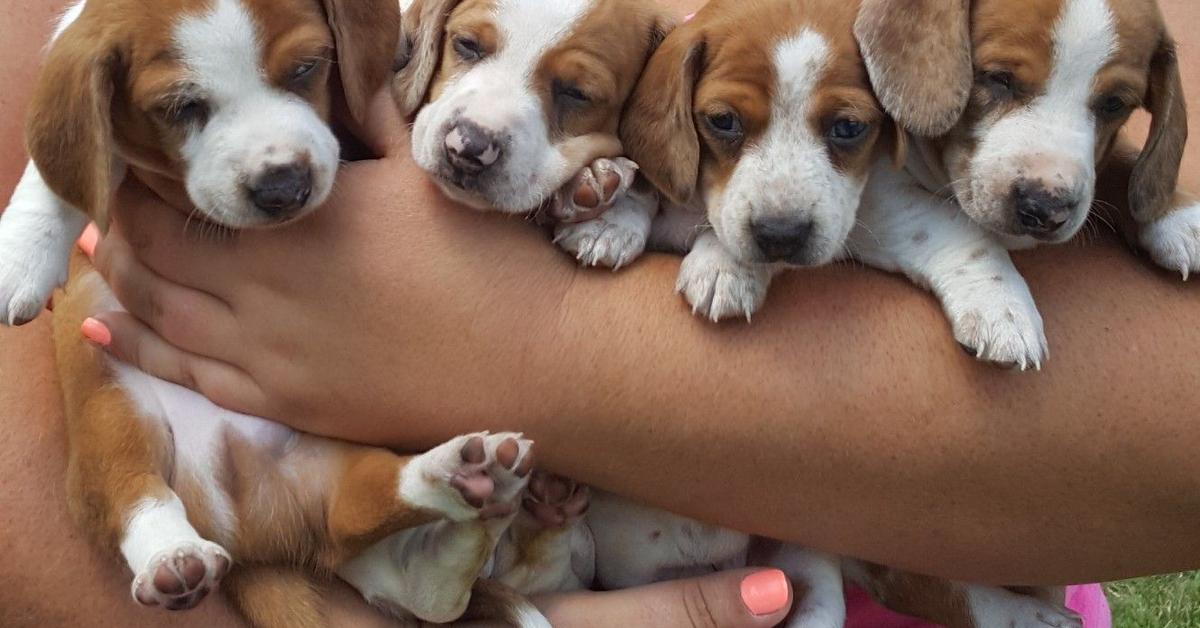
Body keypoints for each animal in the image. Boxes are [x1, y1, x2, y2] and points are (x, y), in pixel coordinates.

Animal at [0, 1, 544, 628]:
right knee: (131, 491)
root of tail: (249, 539)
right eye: (181, 108)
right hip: (111, 408)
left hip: (333, 469)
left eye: (307, 68)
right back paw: (173, 557)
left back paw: (468, 481)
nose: (283, 186)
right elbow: (60, 175)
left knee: (390, 545)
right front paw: (21, 256)